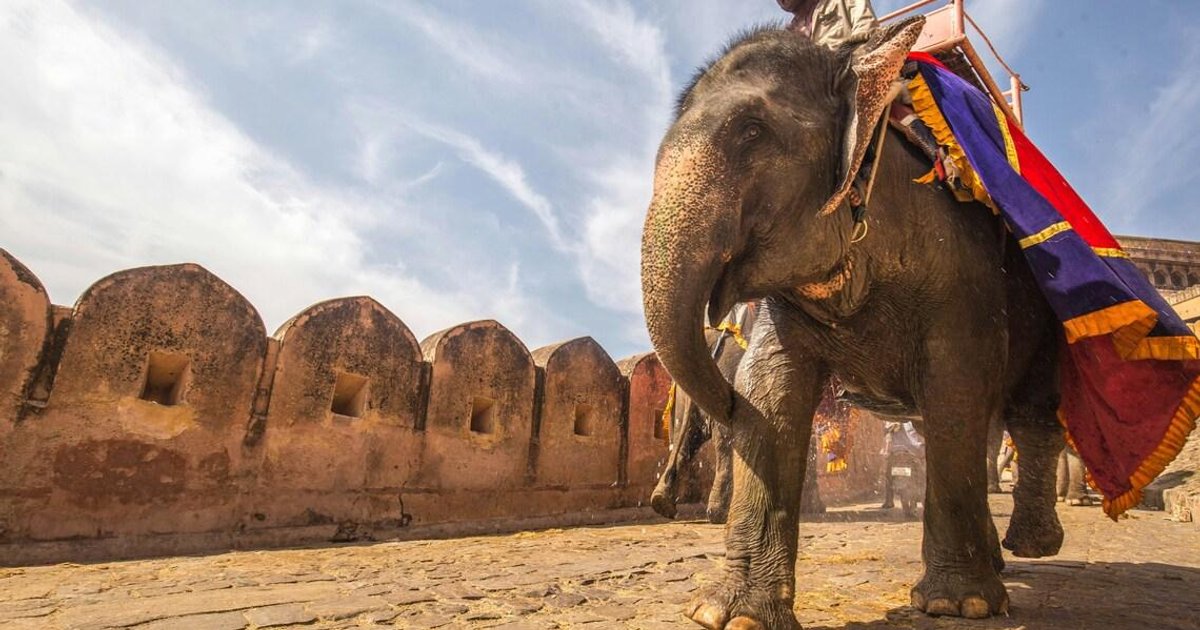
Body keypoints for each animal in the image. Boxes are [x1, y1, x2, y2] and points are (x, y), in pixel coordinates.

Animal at [640, 19, 1067, 629]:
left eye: (752, 131)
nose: (719, 398)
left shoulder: (961, 267)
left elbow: (956, 386)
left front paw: (957, 605)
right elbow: (768, 390)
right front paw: (730, 615)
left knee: (1028, 414)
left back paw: (1030, 546)